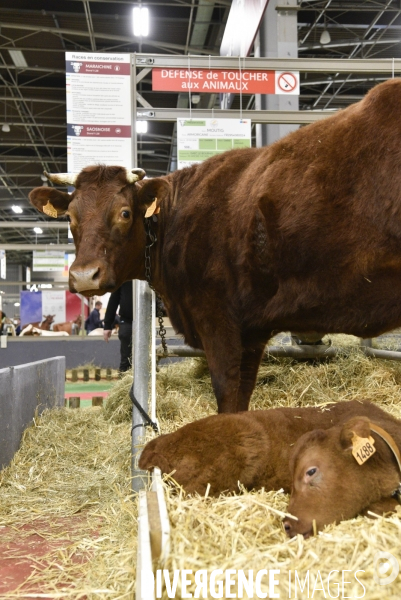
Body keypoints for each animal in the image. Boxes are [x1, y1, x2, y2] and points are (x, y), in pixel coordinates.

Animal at [28, 78, 401, 412]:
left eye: (124, 213)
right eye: (70, 217)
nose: (84, 276)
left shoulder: (217, 319)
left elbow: (226, 394)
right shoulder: (251, 330)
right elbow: (242, 397)